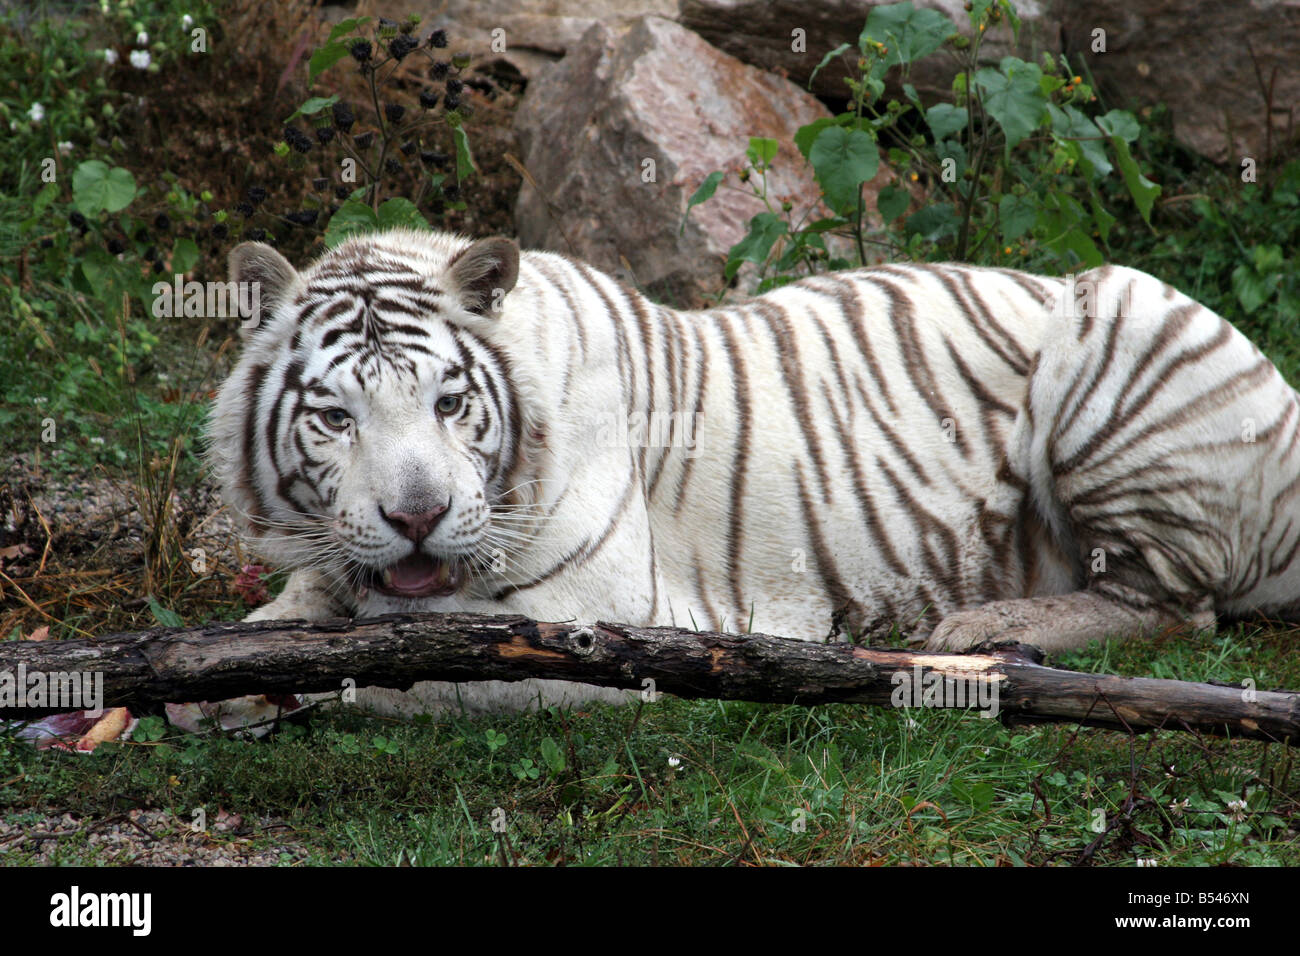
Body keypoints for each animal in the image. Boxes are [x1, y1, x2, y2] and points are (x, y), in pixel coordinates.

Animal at [208, 227, 1300, 716]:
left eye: (448, 403)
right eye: (336, 418)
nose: (417, 517)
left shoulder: (588, 620)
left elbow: (409, 664)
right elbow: (299, 611)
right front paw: (225, 670)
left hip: (1116, 316)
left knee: (1177, 606)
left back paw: (983, 630)